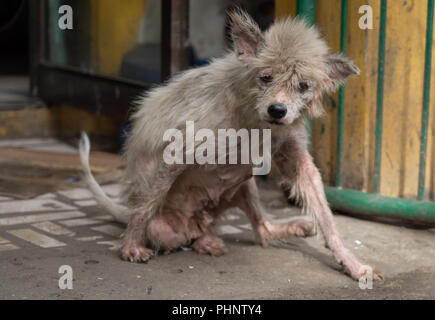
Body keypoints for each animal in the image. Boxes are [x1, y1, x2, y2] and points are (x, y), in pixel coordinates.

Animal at [80, 9, 384, 280]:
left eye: (303, 86)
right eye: (266, 77)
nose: (277, 110)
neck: (255, 118)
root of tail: (194, 225)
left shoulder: (299, 163)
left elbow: (327, 219)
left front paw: (352, 264)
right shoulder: (179, 151)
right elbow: (145, 208)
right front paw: (131, 247)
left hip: (244, 185)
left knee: (261, 230)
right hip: (167, 228)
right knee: (152, 218)